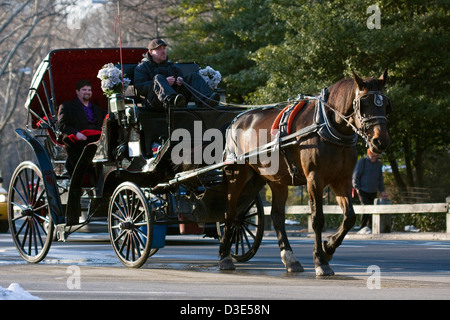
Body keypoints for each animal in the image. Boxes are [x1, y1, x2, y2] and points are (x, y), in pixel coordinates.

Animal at [221, 69, 390, 276]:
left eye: (386, 104)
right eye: (363, 104)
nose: (380, 141)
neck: (327, 126)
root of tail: (236, 120)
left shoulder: (342, 180)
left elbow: (349, 217)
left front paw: (328, 248)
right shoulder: (314, 179)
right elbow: (317, 219)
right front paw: (321, 261)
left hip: (275, 179)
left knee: (276, 216)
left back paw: (290, 259)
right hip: (237, 174)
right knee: (230, 212)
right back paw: (225, 256)